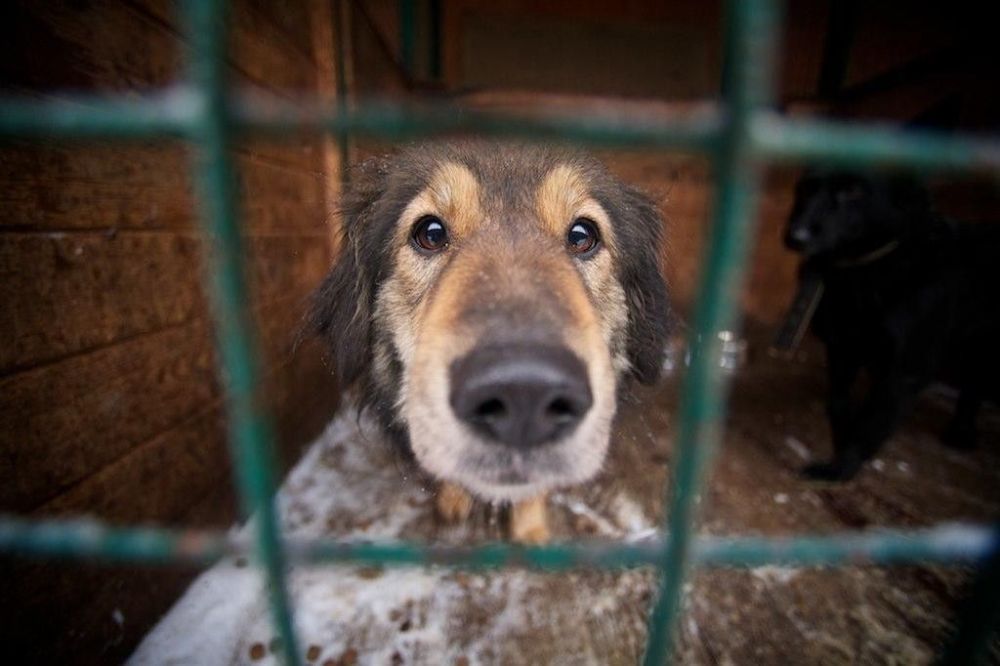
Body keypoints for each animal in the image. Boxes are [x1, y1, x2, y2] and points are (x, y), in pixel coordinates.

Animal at [784, 169, 996, 480]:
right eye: (807, 186)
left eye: (854, 190)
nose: (796, 236)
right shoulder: (844, 346)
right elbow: (838, 403)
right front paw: (844, 439)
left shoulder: (905, 370)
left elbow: (871, 420)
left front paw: (841, 468)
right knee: (974, 380)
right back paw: (961, 432)